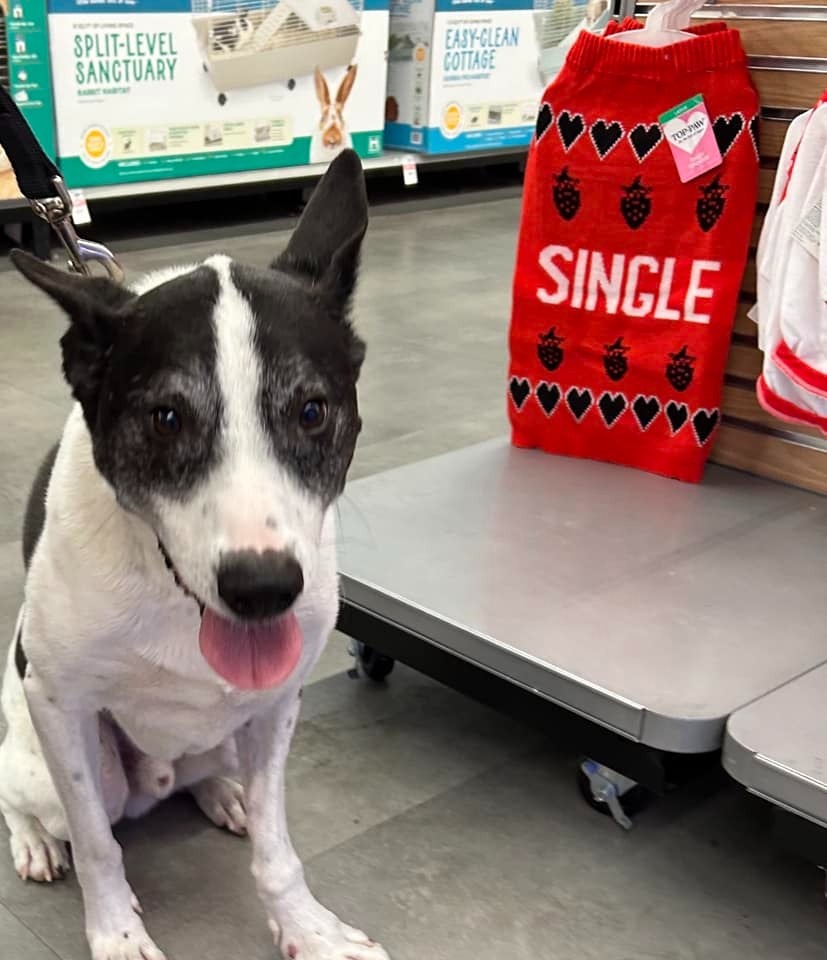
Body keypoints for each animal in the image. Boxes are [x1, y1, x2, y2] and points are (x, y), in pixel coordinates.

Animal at [0, 150, 390, 960]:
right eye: (166, 417)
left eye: (312, 411)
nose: (262, 587)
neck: (173, 597)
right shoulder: (57, 700)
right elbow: (98, 845)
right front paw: (116, 934)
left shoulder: (279, 699)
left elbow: (278, 849)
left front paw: (306, 927)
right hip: (54, 755)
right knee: (30, 802)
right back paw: (36, 841)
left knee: (207, 769)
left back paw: (222, 792)